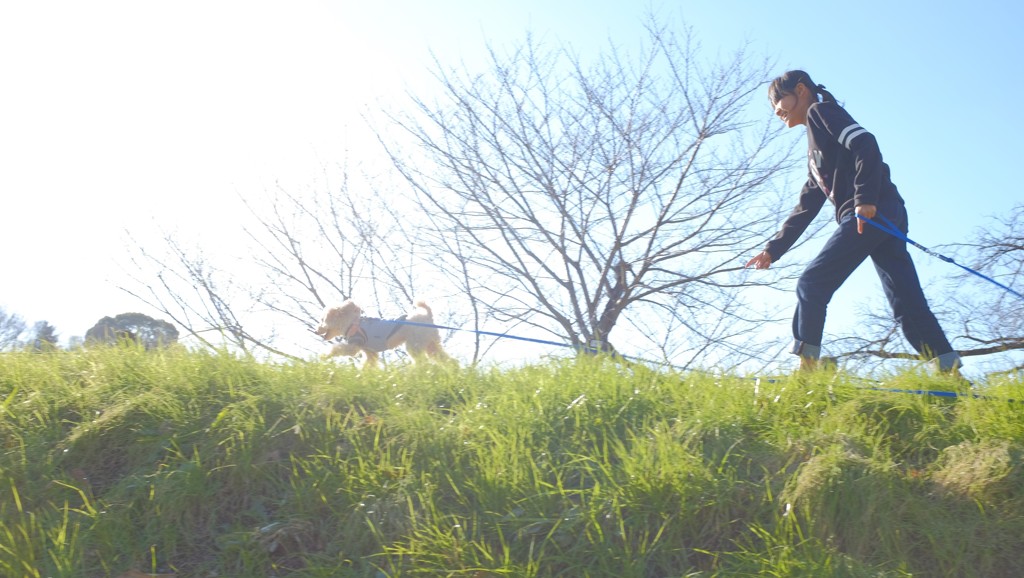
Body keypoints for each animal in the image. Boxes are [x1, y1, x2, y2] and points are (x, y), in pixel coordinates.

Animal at [315, 301, 452, 368]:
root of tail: (427, 315)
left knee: (422, 362)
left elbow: (335, 349)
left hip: (415, 344)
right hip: (430, 343)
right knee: (444, 358)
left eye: (322, 320)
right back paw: (452, 369)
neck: (352, 323)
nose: (316, 331)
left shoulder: (353, 345)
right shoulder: (370, 352)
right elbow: (368, 365)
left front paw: (323, 357)